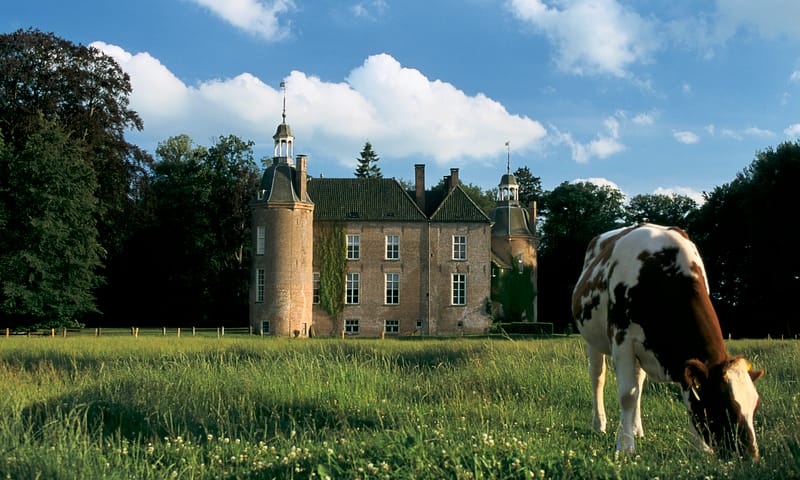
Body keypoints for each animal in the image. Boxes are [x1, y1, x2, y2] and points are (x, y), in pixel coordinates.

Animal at [572, 223, 764, 459]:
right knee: (598, 377)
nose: (752, 456)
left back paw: (637, 429)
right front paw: (625, 446)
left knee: (639, 383)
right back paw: (599, 424)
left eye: (755, 407)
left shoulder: (680, 359)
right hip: (592, 339)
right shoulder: (622, 338)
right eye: (725, 407)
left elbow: (683, 393)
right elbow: (626, 395)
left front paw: (701, 447)